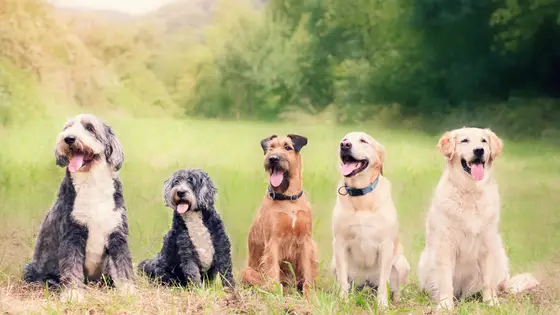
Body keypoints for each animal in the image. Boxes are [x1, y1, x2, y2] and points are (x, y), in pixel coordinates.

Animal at [22, 113, 137, 302]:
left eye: (90, 127)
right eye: (67, 127)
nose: (69, 138)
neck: (92, 184)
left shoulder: (117, 234)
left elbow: (123, 266)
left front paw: (128, 292)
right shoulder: (72, 234)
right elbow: (72, 268)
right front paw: (73, 295)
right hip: (31, 268)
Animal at [242, 133, 320, 298]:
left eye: (287, 147)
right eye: (271, 148)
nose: (273, 159)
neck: (288, 199)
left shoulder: (306, 240)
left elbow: (308, 271)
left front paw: (310, 295)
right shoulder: (273, 240)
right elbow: (272, 271)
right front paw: (275, 294)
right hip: (247, 272)